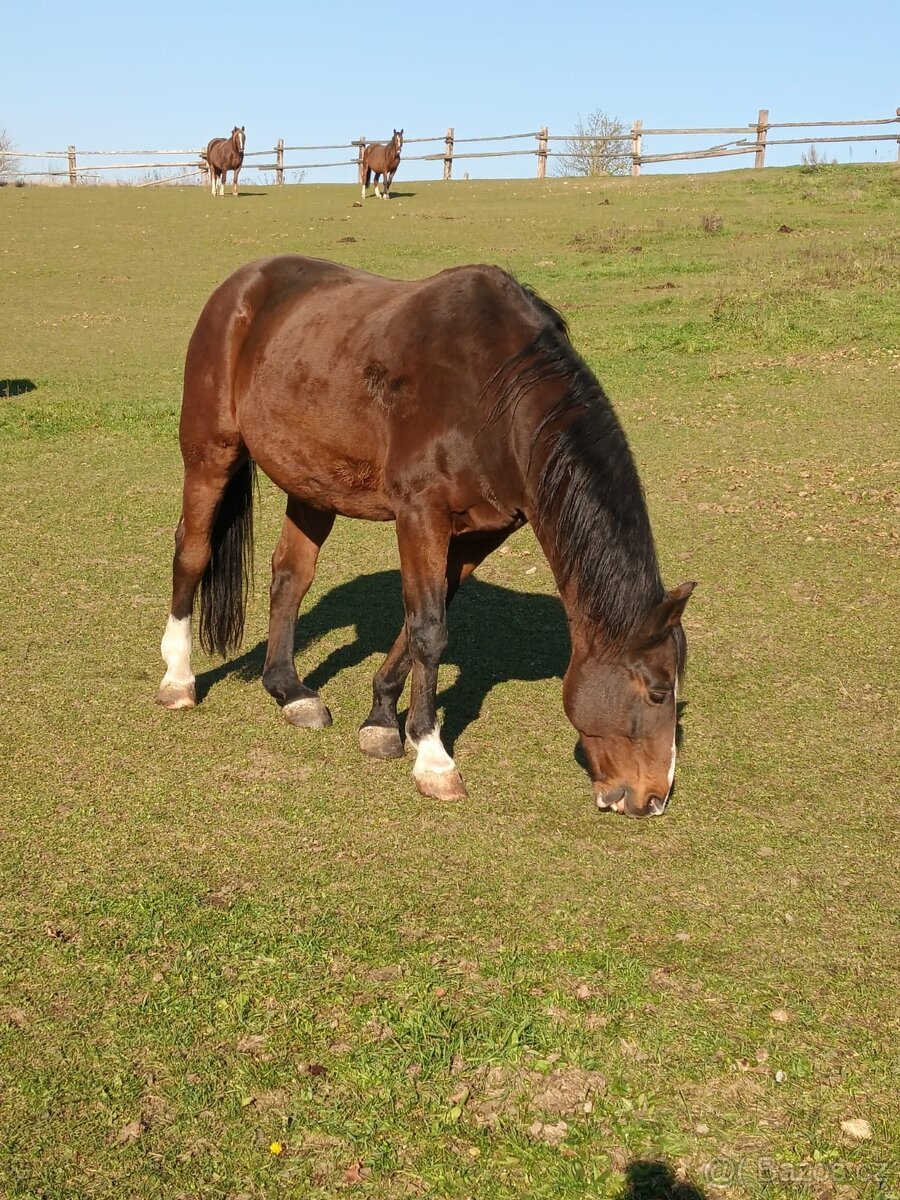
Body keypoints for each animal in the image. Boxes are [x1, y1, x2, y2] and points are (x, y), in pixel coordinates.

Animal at [157, 253, 696, 816]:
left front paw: (381, 720)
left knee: (291, 578)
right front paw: (434, 759)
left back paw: (291, 691)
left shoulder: (480, 532)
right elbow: (429, 631)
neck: (496, 396)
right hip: (210, 452)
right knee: (192, 553)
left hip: (311, 484)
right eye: (658, 692)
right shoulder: (421, 515)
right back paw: (178, 679)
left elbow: (420, 620)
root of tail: (242, 284)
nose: (653, 799)